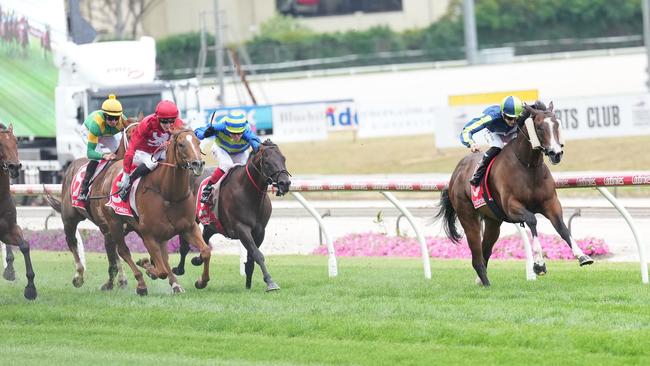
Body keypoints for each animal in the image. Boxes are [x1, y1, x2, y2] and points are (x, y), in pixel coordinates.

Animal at [175, 140, 292, 292]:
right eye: (267, 162)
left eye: (283, 159)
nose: (285, 183)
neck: (248, 193)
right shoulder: (241, 229)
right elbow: (258, 255)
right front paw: (270, 282)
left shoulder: (260, 231)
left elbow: (251, 258)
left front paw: (248, 285)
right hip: (191, 218)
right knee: (184, 245)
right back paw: (179, 269)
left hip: (213, 223)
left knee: (205, 238)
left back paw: (198, 262)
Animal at [436, 102, 592, 286]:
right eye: (539, 127)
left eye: (557, 125)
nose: (556, 154)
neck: (528, 166)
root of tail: (455, 174)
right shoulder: (512, 207)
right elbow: (532, 220)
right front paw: (539, 264)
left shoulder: (551, 203)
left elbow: (561, 227)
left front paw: (582, 255)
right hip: (467, 216)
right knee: (476, 256)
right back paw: (486, 283)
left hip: (493, 222)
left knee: (485, 251)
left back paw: (481, 280)